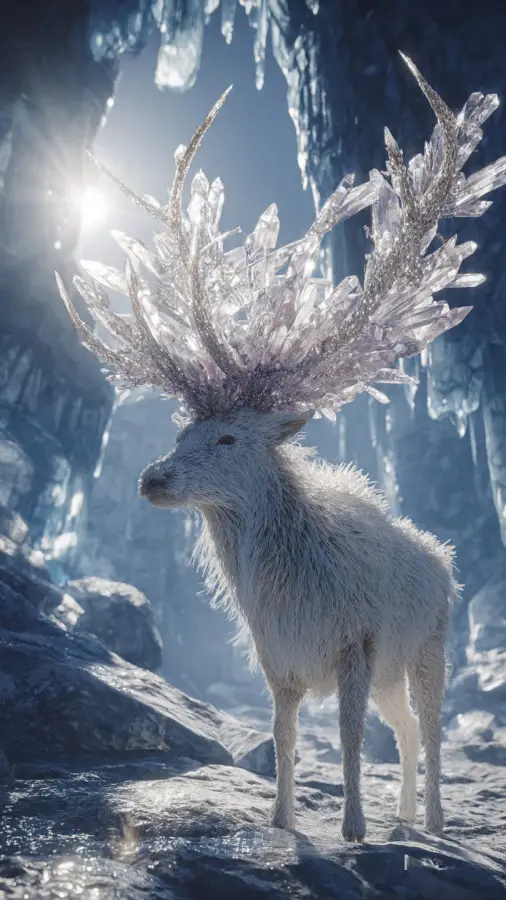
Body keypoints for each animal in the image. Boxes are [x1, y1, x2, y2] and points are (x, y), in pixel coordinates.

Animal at [57, 55, 506, 841]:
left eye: (228, 435)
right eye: (180, 432)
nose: (151, 478)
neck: (290, 587)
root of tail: (442, 557)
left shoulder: (358, 643)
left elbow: (350, 741)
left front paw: (351, 829)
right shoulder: (278, 662)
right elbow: (286, 739)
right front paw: (283, 821)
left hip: (428, 646)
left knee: (430, 726)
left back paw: (433, 819)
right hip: (395, 668)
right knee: (406, 731)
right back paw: (403, 816)